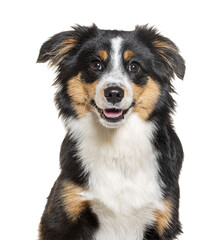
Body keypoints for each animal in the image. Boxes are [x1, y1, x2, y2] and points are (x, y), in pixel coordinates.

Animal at [37, 24, 185, 240]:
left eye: (134, 66)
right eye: (96, 64)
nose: (114, 93)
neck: (116, 144)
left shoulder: (162, 218)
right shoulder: (62, 215)